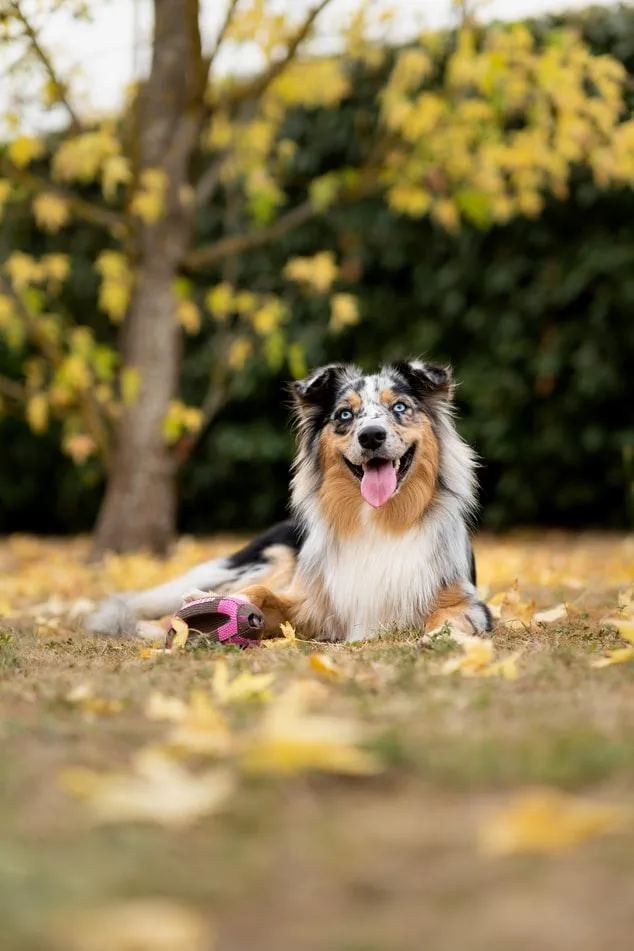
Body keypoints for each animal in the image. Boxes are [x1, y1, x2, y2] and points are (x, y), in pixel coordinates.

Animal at [85, 360, 488, 644]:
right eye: (345, 415)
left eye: (400, 408)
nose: (371, 435)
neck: (380, 520)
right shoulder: (311, 605)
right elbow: (262, 596)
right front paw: (215, 606)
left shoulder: (468, 601)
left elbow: (451, 617)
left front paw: (443, 637)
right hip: (269, 558)